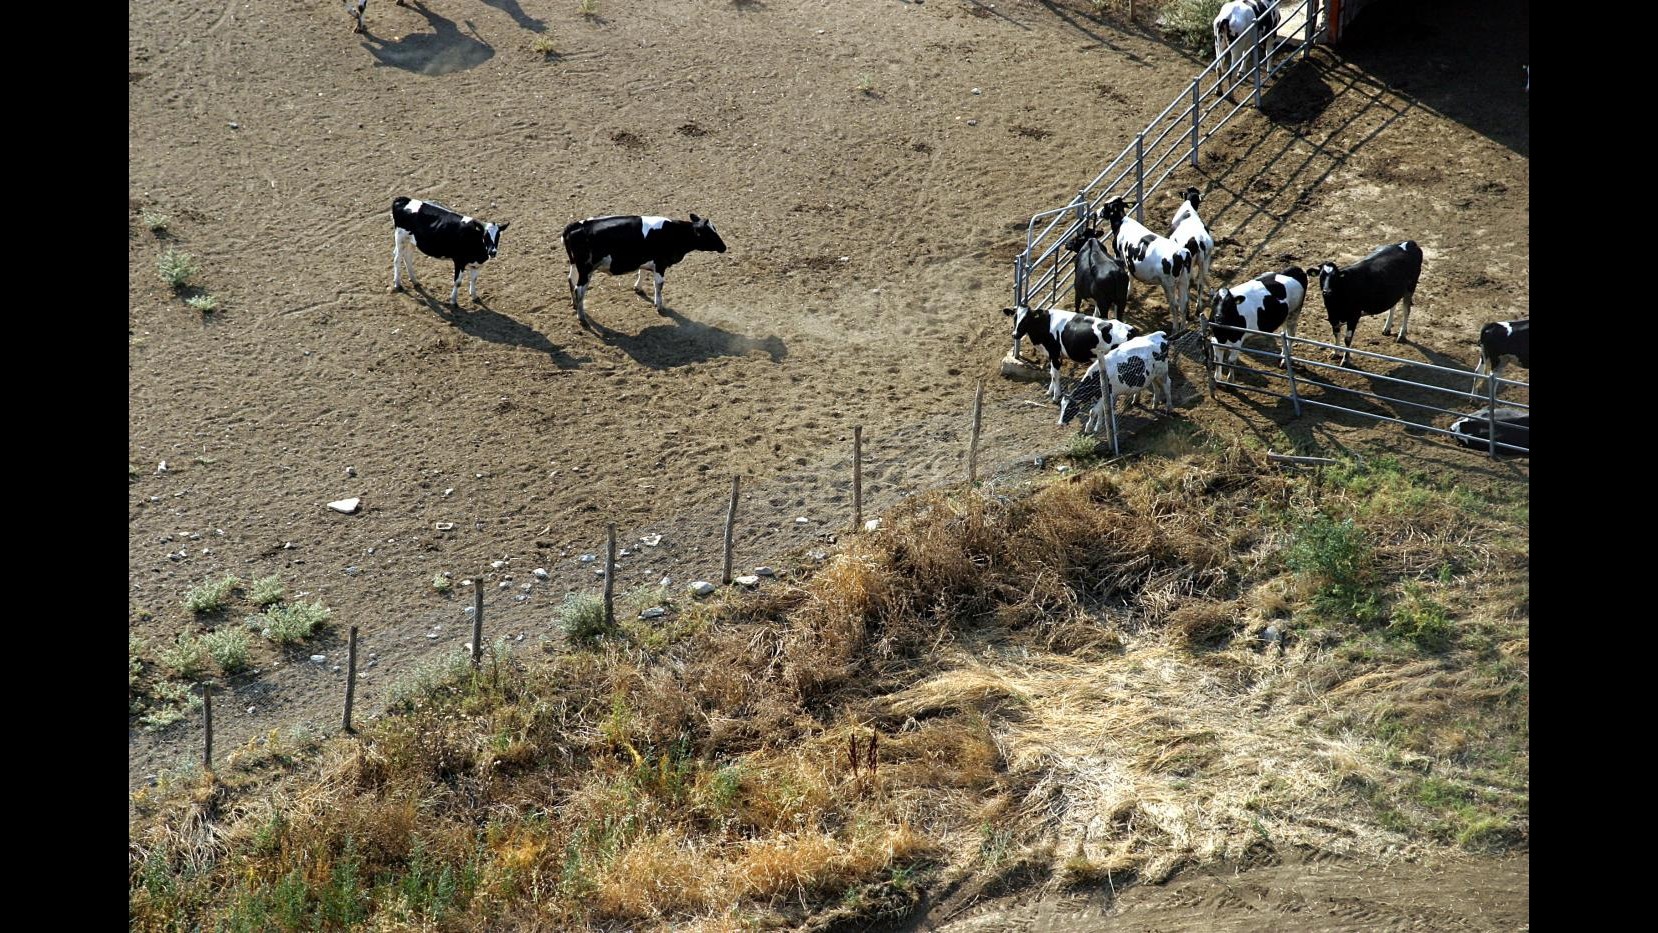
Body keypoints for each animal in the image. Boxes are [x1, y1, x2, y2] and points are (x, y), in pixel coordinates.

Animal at [563, 213, 726, 324]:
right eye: (710, 234)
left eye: (715, 229)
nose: (724, 247)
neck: (673, 232)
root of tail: (574, 226)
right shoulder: (660, 263)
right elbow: (659, 285)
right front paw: (659, 305)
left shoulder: (644, 258)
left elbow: (641, 272)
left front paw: (638, 288)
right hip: (586, 269)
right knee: (579, 289)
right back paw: (582, 316)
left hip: (575, 265)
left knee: (571, 280)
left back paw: (575, 305)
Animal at [1001, 306, 1147, 401]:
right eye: (1015, 317)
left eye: (1026, 319)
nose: (1015, 334)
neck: (1044, 325)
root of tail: (1131, 329)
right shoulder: (1053, 355)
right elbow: (1052, 374)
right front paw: (1049, 392)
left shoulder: (1054, 353)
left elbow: (1055, 375)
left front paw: (1056, 396)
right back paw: (1135, 399)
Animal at [1100, 195, 1193, 334]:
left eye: (1106, 206)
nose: (1098, 212)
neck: (1121, 223)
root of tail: (1181, 253)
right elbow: (1131, 274)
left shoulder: (1119, 256)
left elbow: (1129, 274)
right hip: (1183, 280)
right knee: (1183, 304)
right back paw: (1183, 329)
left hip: (1168, 284)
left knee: (1174, 305)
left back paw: (1175, 329)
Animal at [1167, 188, 1220, 316]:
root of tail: (1197, 241)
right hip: (1204, 261)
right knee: (1200, 283)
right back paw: (1197, 308)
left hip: (1189, 267)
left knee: (1189, 286)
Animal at [1319, 240, 1425, 369]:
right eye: (1321, 276)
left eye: (1335, 277)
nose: (1327, 291)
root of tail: (1409, 243)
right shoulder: (1333, 317)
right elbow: (1336, 334)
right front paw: (1335, 352)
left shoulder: (1353, 317)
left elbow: (1347, 339)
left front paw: (1345, 360)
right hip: (1393, 291)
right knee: (1393, 306)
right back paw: (1387, 328)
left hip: (1411, 286)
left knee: (1406, 310)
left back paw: (1401, 335)